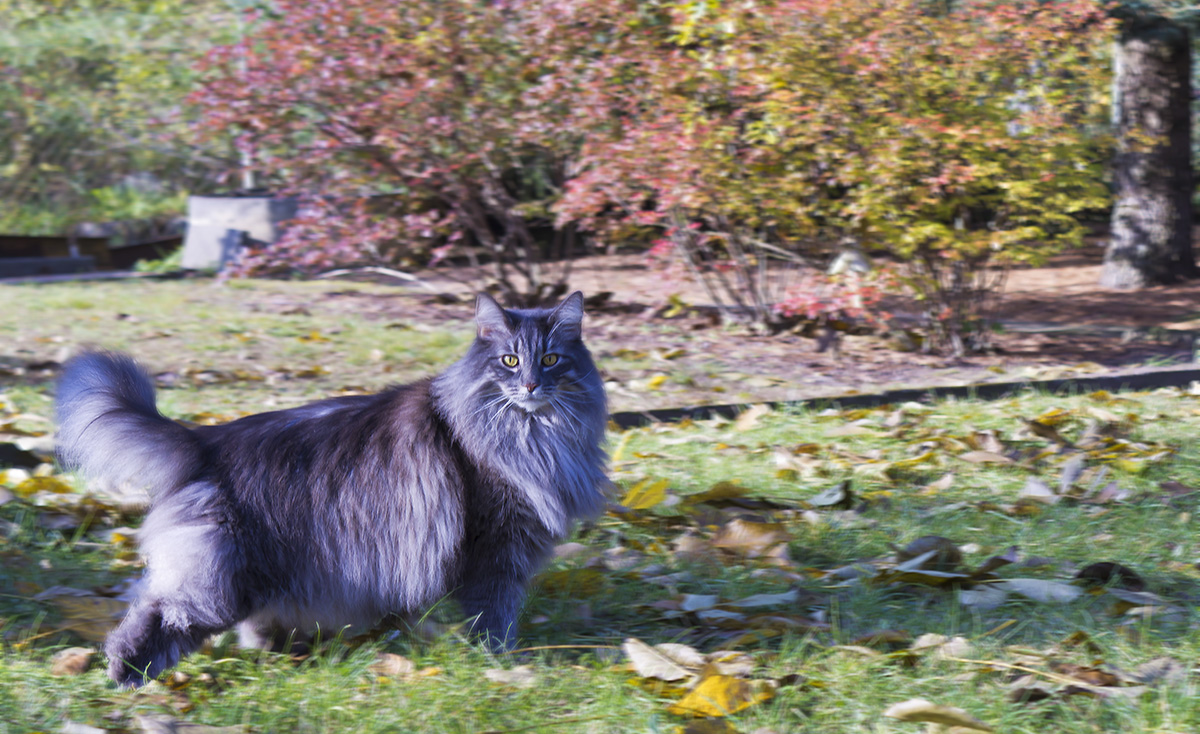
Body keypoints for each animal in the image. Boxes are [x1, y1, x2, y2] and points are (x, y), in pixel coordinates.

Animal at [54, 291, 609, 686]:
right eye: (510, 361)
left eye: (552, 360)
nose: (532, 385)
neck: (533, 434)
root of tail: (204, 440)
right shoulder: (495, 546)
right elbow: (495, 615)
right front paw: (503, 663)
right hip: (217, 582)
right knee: (157, 615)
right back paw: (125, 677)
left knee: (250, 623)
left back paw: (287, 658)